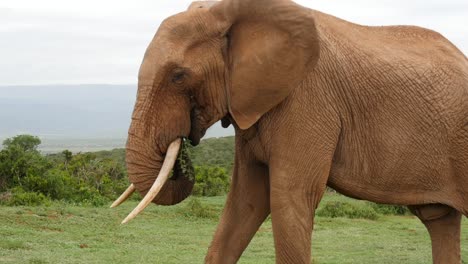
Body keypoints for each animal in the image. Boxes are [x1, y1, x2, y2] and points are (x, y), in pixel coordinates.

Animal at [110, 0, 468, 262]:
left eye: (179, 76)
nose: (184, 147)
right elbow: (246, 201)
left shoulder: (306, 100)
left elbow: (289, 197)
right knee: (440, 220)